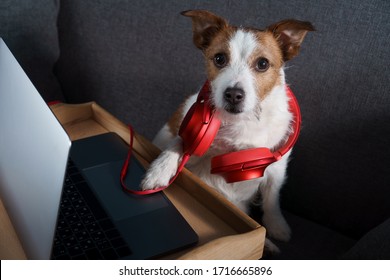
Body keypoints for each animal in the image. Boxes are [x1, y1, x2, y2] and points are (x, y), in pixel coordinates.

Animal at [140, 9, 314, 253]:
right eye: (219, 59)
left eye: (262, 63)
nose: (233, 94)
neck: (242, 121)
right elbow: (181, 142)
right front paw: (159, 171)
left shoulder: (277, 167)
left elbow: (272, 198)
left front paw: (276, 227)